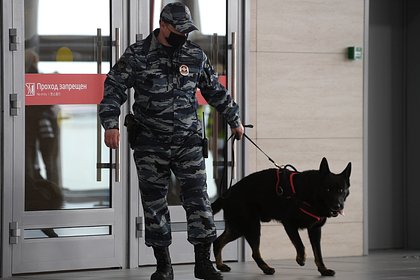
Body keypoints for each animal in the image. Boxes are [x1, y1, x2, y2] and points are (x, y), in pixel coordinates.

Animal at [210, 158, 352, 276]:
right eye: (327, 189)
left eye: (341, 190)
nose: (338, 206)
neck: (310, 192)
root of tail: (227, 193)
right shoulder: (289, 224)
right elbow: (300, 244)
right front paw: (301, 258)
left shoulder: (315, 230)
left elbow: (318, 253)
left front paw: (323, 270)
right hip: (251, 226)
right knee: (255, 252)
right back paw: (266, 268)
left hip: (238, 228)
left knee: (217, 242)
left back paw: (221, 265)